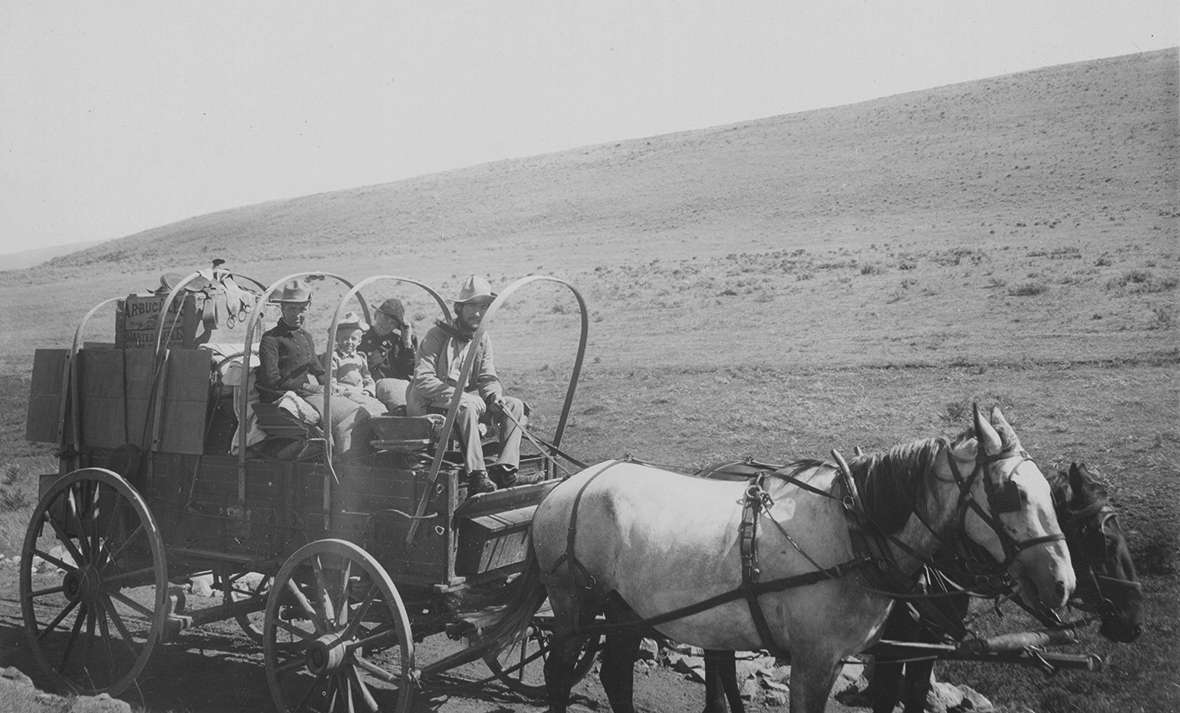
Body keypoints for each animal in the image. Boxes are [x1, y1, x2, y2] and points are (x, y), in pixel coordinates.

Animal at [483, 406, 1076, 713]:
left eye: (1052, 491)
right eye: (1009, 494)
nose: (1063, 584)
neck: (853, 532)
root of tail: (563, 490)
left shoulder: (842, 658)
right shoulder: (813, 659)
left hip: (626, 607)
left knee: (614, 672)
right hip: (574, 602)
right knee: (560, 668)